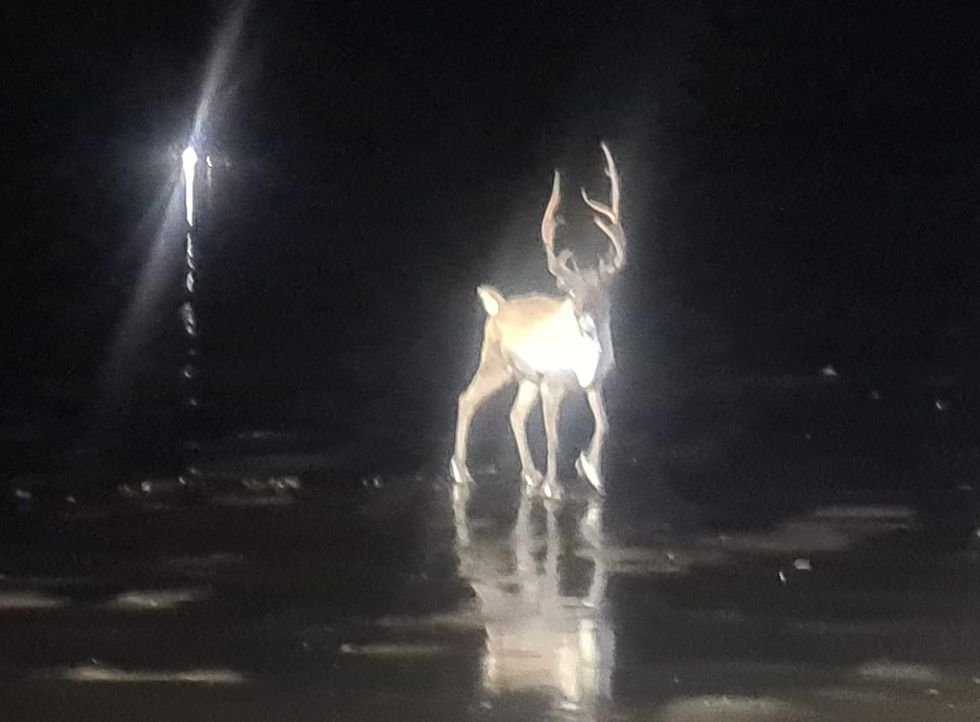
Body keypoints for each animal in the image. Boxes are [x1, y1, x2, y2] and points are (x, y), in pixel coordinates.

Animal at [450, 143, 627, 500]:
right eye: (570, 291)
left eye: (600, 290)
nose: (583, 316)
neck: (586, 356)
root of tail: (497, 306)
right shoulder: (553, 384)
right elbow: (554, 436)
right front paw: (553, 486)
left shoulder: (594, 382)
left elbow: (604, 423)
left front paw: (591, 471)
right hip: (496, 364)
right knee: (467, 398)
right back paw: (462, 471)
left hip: (527, 378)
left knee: (515, 413)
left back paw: (530, 474)